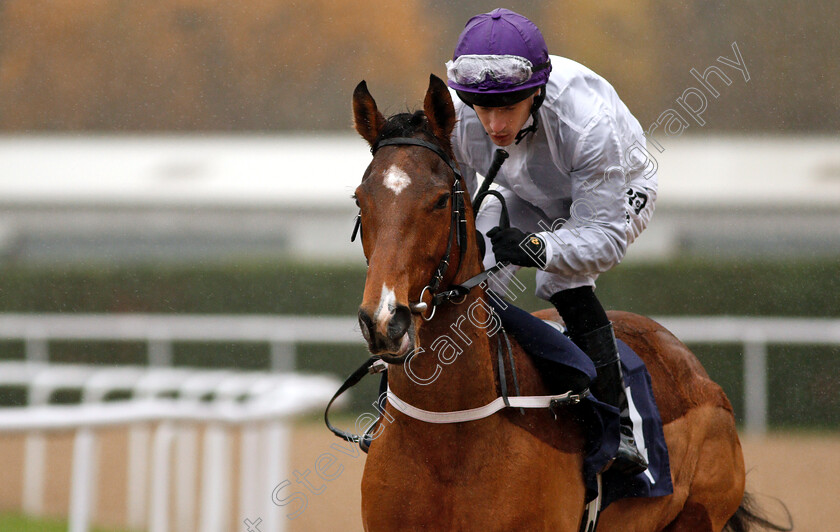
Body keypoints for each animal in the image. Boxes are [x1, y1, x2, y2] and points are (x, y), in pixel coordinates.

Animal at [350, 72, 780, 528]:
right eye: (360, 198)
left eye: (440, 200)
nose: (385, 321)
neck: (445, 432)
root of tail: (691, 366)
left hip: (700, 513)